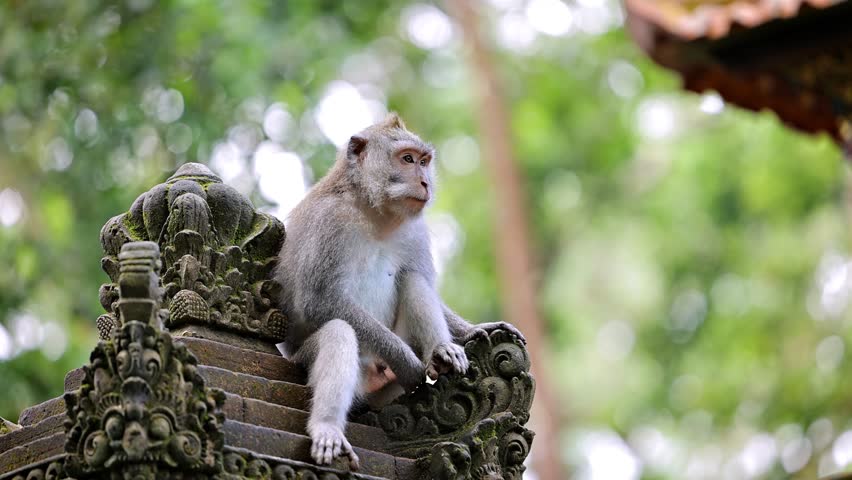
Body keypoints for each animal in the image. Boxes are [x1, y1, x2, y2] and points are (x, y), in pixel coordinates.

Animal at [275, 113, 525, 470]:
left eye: (423, 162)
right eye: (406, 159)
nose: (425, 183)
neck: (374, 212)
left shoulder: (415, 231)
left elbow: (419, 280)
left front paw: (474, 329)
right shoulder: (329, 221)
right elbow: (319, 301)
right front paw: (406, 360)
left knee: (411, 279)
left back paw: (441, 354)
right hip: (312, 363)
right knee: (339, 332)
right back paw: (328, 427)